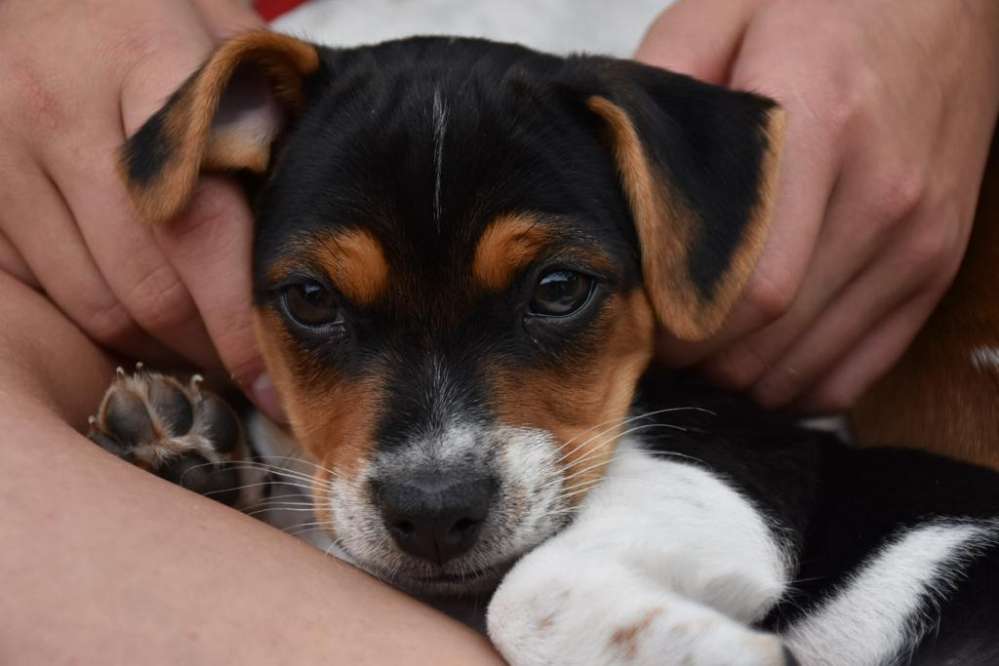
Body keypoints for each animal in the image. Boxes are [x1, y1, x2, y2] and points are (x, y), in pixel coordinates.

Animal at [90, 32, 996, 664]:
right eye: (311, 299)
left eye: (558, 289)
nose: (433, 513)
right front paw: (184, 443)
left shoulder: (728, 479)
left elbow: (526, 594)